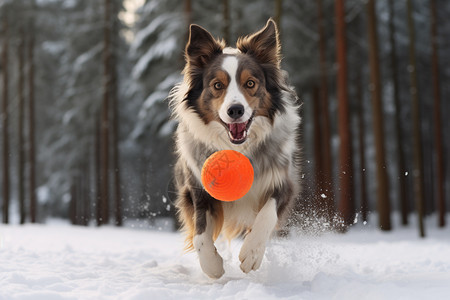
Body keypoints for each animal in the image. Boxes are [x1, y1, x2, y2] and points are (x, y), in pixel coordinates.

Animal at [171, 18, 300, 278]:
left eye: (250, 83)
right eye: (217, 85)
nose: (235, 110)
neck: (237, 148)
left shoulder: (283, 182)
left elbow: (267, 215)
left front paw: (251, 253)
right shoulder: (197, 189)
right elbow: (200, 234)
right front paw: (212, 265)